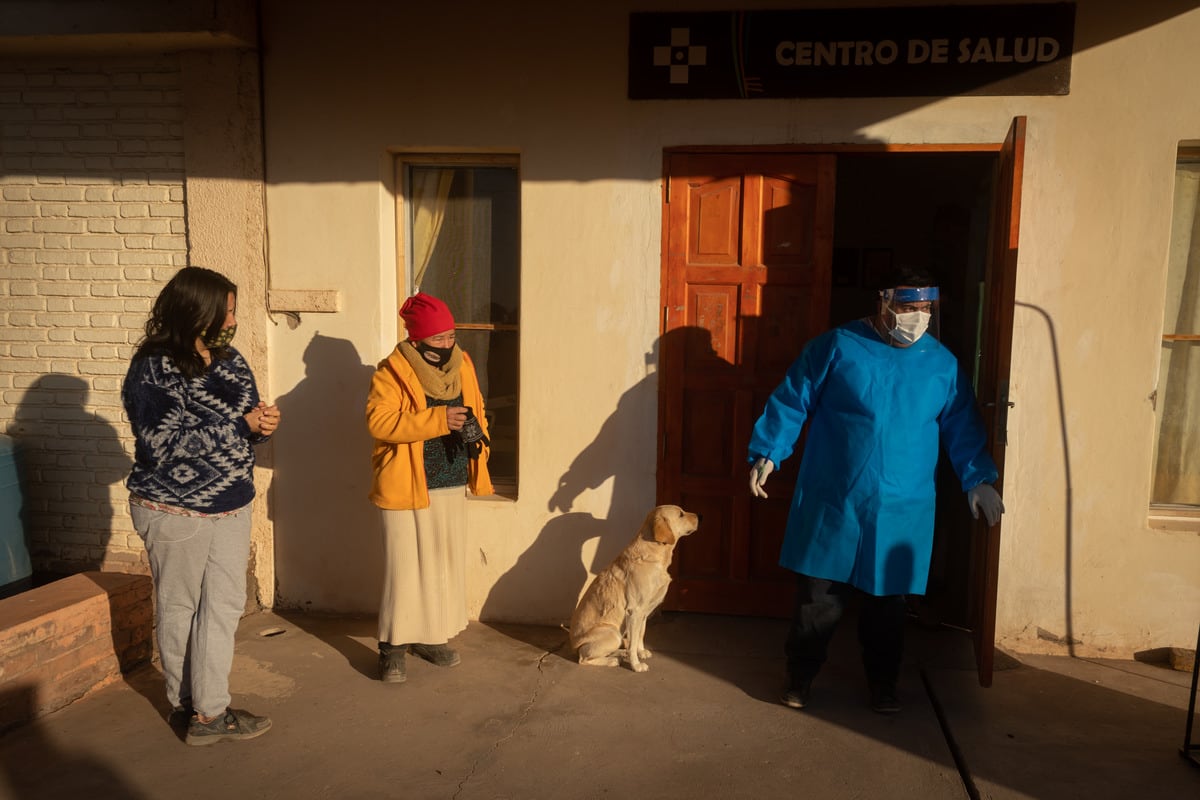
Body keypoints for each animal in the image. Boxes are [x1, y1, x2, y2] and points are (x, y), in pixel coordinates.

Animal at [566, 506, 700, 671]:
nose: (700, 516)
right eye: (681, 514)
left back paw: (619, 654)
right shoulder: (634, 610)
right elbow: (633, 641)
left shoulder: (644, 611)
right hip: (612, 633)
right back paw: (612, 661)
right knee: (583, 659)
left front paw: (640, 652)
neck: (655, 554)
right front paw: (636, 665)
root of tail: (573, 647)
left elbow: (639, 635)